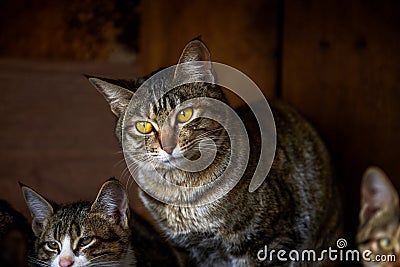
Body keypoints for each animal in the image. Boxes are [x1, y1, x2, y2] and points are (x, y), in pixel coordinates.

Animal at [89, 38, 342, 266]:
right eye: (143, 126)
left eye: (185, 114)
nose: (167, 146)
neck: (183, 194)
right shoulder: (186, 252)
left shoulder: (271, 243)